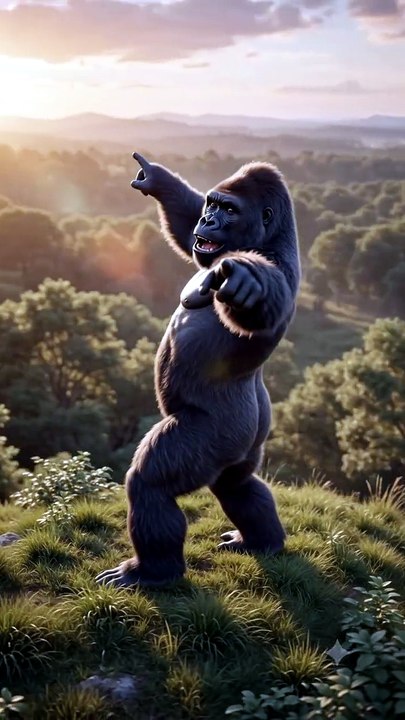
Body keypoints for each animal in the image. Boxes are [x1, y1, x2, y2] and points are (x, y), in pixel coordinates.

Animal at [96, 153, 300, 588]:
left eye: (229, 210)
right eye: (211, 204)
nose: (209, 220)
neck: (267, 239)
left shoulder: (272, 268)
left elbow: (254, 287)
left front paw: (244, 282)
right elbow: (184, 227)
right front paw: (157, 179)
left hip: (215, 435)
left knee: (152, 485)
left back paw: (153, 572)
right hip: (247, 445)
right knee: (237, 485)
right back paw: (263, 541)